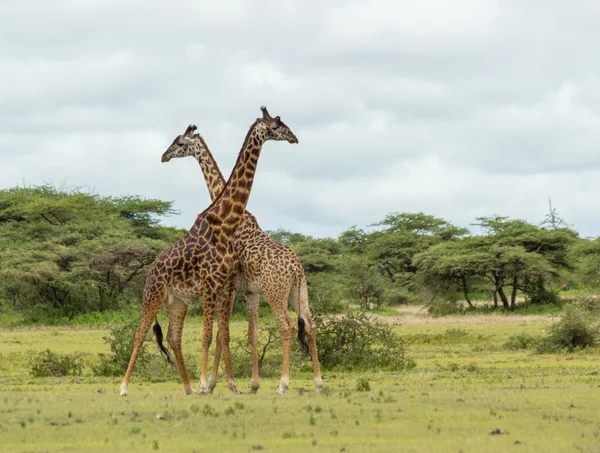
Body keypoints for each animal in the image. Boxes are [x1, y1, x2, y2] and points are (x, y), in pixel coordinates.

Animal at [119, 107, 298, 396]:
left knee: (174, 337)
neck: (224, 222)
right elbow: (211, 335)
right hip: (156, 295)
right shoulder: (213, 285)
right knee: (142, 333)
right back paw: (126, 388)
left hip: (182, 302)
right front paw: (210, 384)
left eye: (179, 143)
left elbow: (219, 334)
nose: (164, 155)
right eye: (277, 125)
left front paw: (221, 384)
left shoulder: (225, 287)